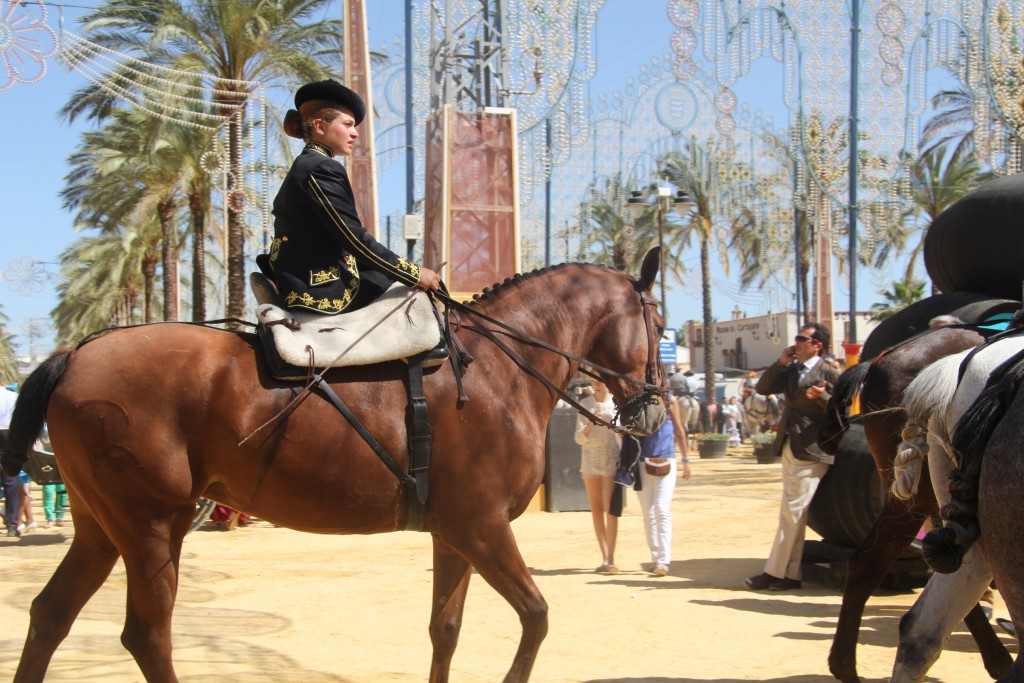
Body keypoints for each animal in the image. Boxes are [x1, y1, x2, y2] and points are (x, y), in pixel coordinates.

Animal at [0, 254, 667, 683]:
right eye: (659, 325)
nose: (657, 407)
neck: (496, 367)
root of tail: (76, 352)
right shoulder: (482, 528)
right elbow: (535, 617)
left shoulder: (455, 535)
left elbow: (445, 630)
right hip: (152, 528)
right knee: (146, 635)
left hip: (101, 530)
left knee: (50, 616)